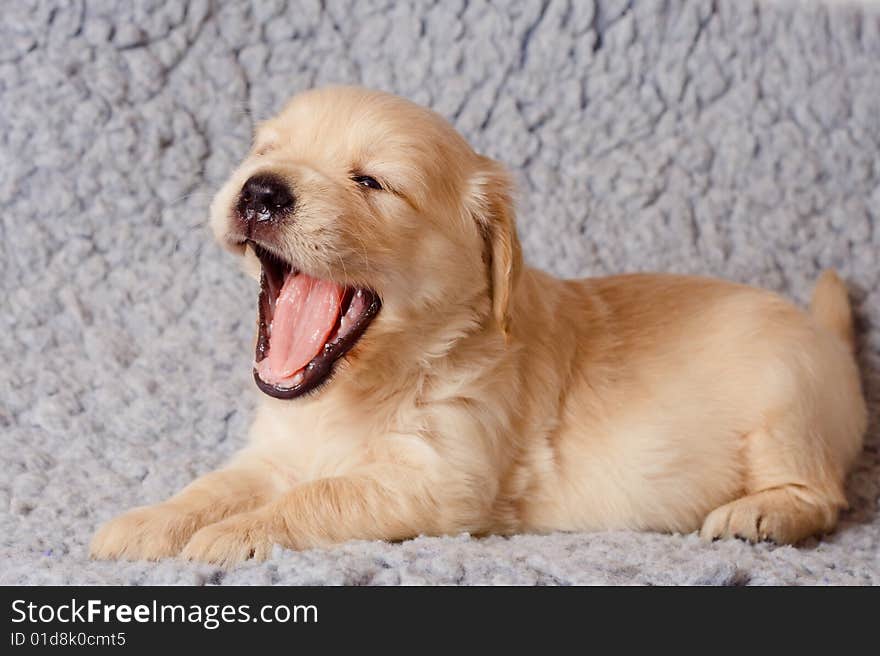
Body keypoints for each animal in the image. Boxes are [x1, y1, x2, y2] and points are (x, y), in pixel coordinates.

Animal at [91, 88, 868, 568]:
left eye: (371, 182)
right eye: (262, 153)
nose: (260, 189)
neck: (358, 392)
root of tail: (826, 335)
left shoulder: (436, 479)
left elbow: (320, 494)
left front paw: (236, 534)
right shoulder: (274, 452)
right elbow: (213, 486)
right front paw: (149, 520)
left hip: (789, 402)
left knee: (822, 496)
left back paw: (759, 516)